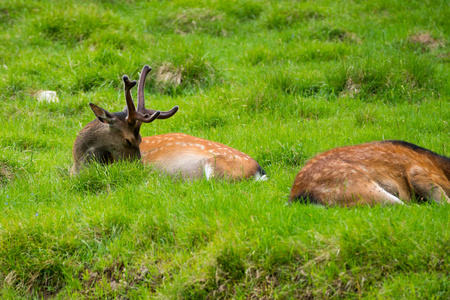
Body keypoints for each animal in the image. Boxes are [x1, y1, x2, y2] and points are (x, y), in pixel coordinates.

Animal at [72, 65, 266, 180]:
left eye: (140, 140)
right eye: (130, 140)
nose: (137, 168)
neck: (75, 167)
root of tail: (260, 171)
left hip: (218, 167)